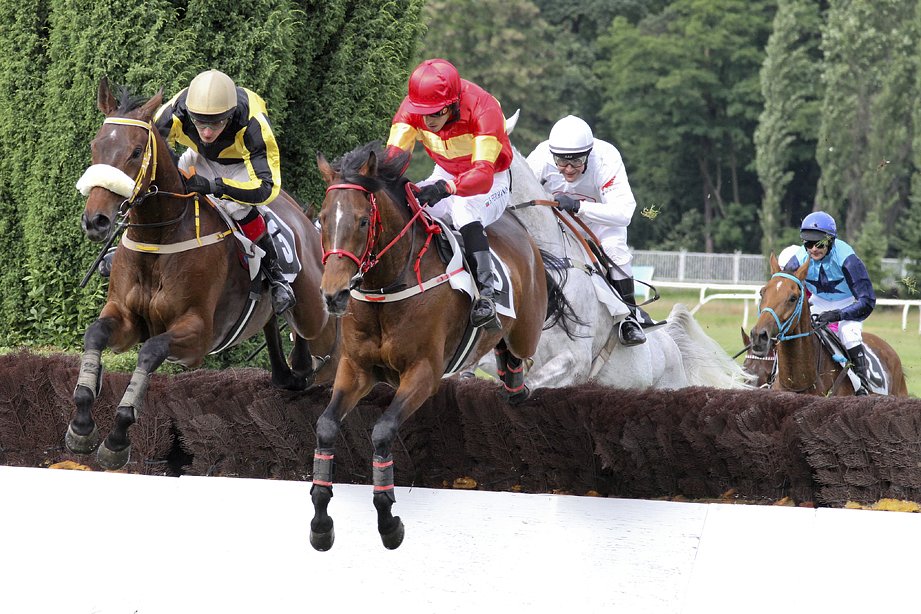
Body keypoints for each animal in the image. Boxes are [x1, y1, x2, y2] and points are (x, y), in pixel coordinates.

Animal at [65, 78, 338, 472]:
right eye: (95, 145)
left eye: (135, 152)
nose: (96, 220)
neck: (160, 237)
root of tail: (301, 214)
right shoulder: (126, 318)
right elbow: (96, 334)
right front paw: (82, 425)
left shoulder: (198, 335)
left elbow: (151, 351)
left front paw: (117, 438)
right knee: (277, 329)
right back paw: (291, 371)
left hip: (315, 311)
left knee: (327, 339)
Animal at [310, 144, 568, 552]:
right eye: (322, 219)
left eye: (363, 222)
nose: (333, 295)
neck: (386, 288)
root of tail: (519, 228)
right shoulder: (355, 369)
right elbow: (325, 427)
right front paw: (320, 523)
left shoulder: (424, 373)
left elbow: (382, 431)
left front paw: (389, 521)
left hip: (527, 329)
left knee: (519, 364)